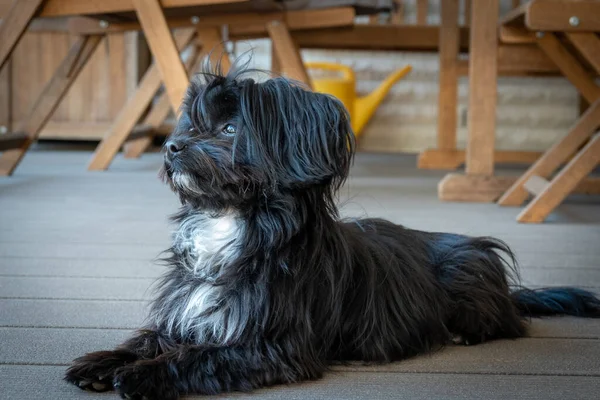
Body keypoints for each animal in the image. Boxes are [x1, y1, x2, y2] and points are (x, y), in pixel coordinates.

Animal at [65, 64, 600, 398]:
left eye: (230, 130)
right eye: (191, 124)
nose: (171, 146)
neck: (233, 221)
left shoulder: (271, 344)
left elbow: (198, 358)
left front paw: (141, 377)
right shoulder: (187, 311)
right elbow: (148, 338)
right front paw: (102, 362)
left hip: (468, 271)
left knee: (507, 323)